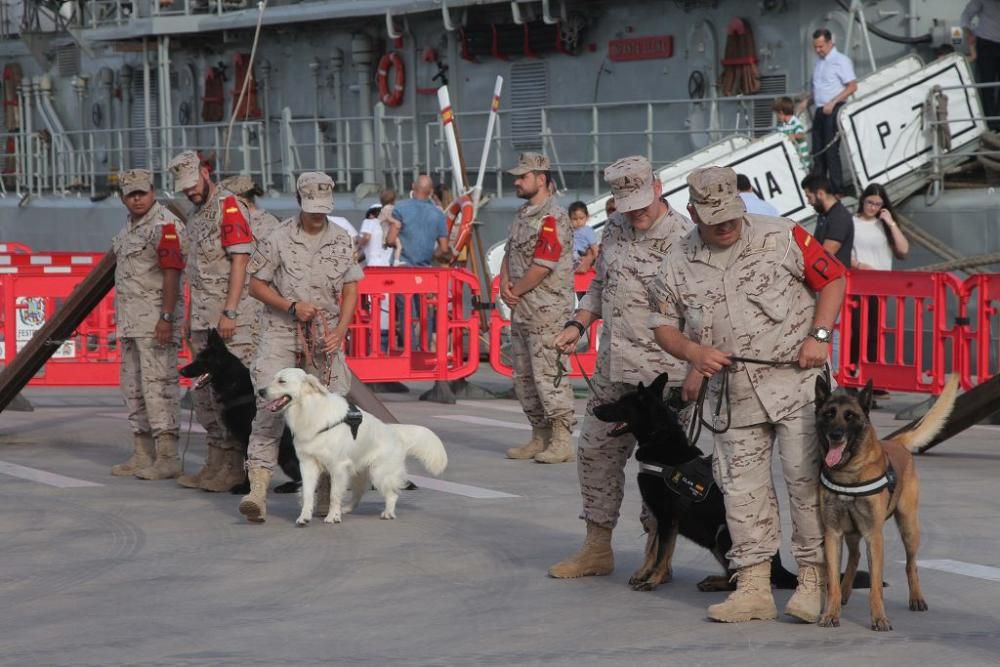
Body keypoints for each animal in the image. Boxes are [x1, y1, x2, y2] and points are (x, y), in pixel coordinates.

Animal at [180, 330, 298, 496]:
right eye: (196, 358)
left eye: (202, 360)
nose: (181, 371)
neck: (233, 383)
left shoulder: (249, 436)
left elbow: (250, 462)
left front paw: (246, 488)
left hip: (287, 457)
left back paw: (287, 486)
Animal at [260, 368, 448, 524]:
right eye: (273, 378)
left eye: (282, 381)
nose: (260, 391)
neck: (309, 411)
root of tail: (393, 430)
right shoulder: (307, 464)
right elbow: (307, 493)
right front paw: (304, 517)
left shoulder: (337, 467)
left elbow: (334, 495)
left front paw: (332, 517)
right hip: (357, 473)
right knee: (358, 494)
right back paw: (346, 509)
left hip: (378, 472)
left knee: (392, 494)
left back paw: (387, 512)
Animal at [596, 376, 872, 596]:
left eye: (620, 404)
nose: (596, 407)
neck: (659, 440)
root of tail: (779, 567)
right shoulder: (659, 518)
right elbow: (653, 549)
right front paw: (644, 574)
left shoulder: (667, 519)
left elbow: (662, 553)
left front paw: (652, 580)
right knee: (736, 574)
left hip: (722, 533)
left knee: (743, 577)